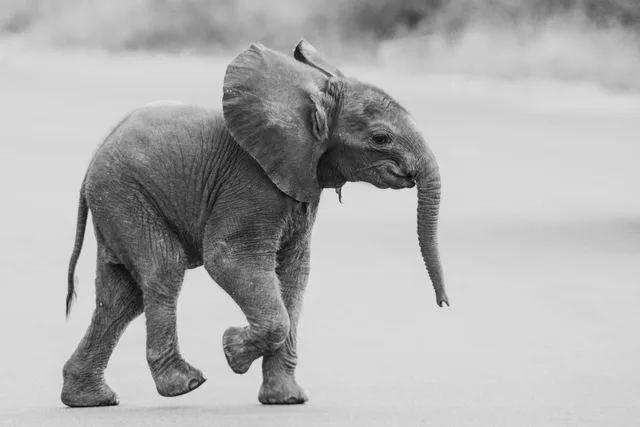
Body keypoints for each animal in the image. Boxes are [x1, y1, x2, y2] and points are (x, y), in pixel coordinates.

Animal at [61, 39, 449, 408]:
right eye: (380, 138)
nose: (444, 304)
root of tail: (94, 158)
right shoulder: (252, 184)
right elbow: (228, 260)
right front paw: (231, 350)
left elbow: (293, 276)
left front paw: (287, 399)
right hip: (127, 195)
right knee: (162, 269)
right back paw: (184, 384)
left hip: (117, 202)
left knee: (121, 297)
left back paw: (89, 399)